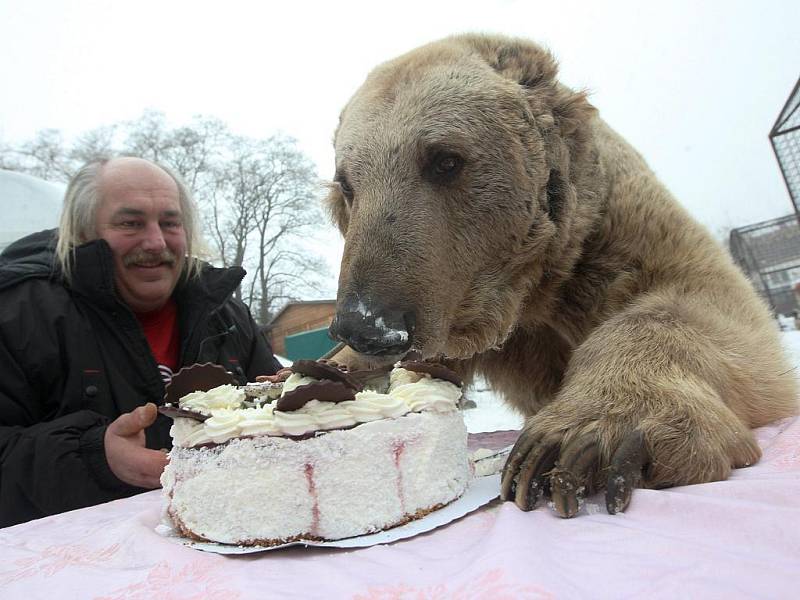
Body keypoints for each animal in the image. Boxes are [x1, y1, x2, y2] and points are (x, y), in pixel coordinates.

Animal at [322, 32, 796, 516]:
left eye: (444, 160)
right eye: (348, 184)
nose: (369, 324)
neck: (531, 291)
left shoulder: (618, 234)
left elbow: (708, 309)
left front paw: (577, 443)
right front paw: (329, 371)